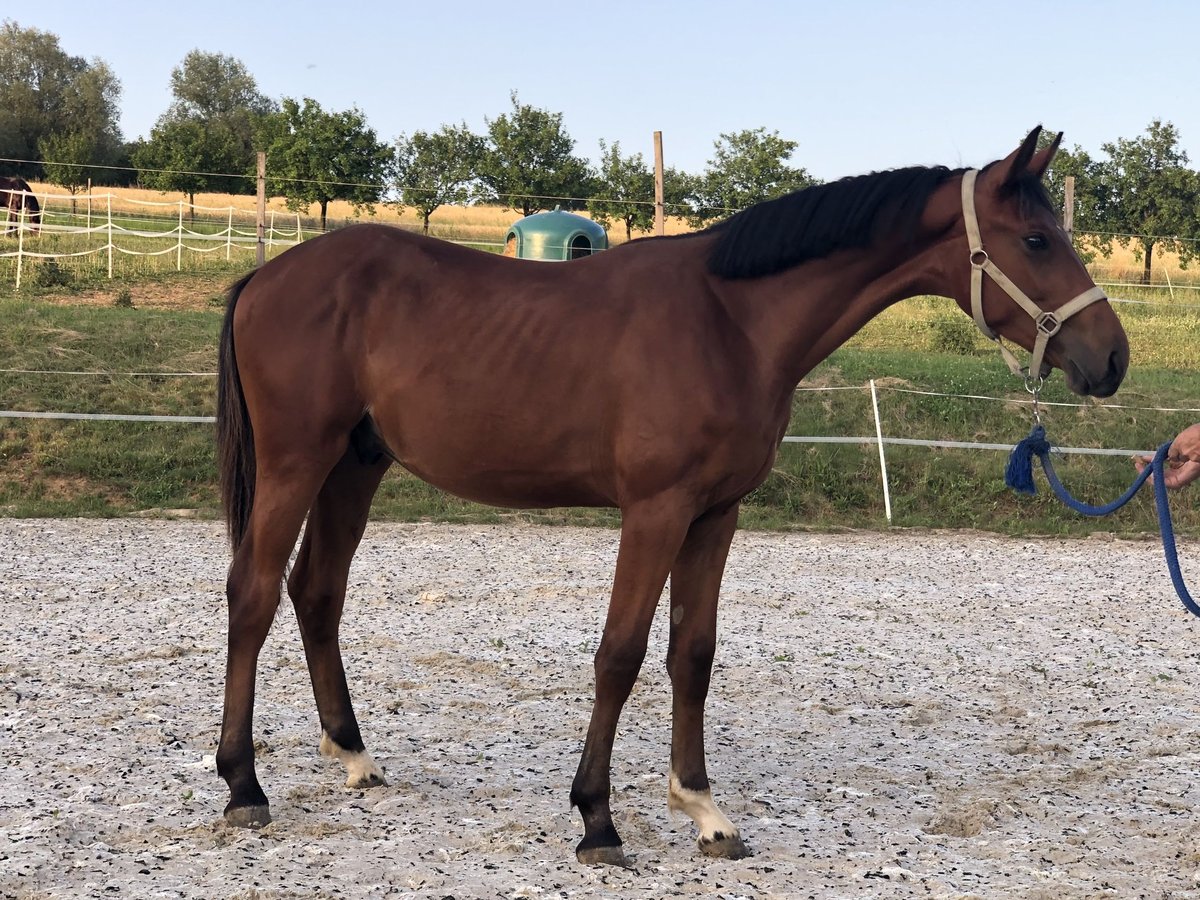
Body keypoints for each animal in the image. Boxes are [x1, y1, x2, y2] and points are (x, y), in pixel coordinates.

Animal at [213, 128, 1123, 868]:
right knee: (253, 596)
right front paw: (597, 820)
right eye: (1036, 238)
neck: (732, 321)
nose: (1109, 358)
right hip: (298, 465)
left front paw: (704, 810)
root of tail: (264, 275)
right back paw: (242, 785)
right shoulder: (655, 512)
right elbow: (620, 655)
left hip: (354, 467)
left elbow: (694, 654)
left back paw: (353, 756)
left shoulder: (715, 517)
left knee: (317, 593)